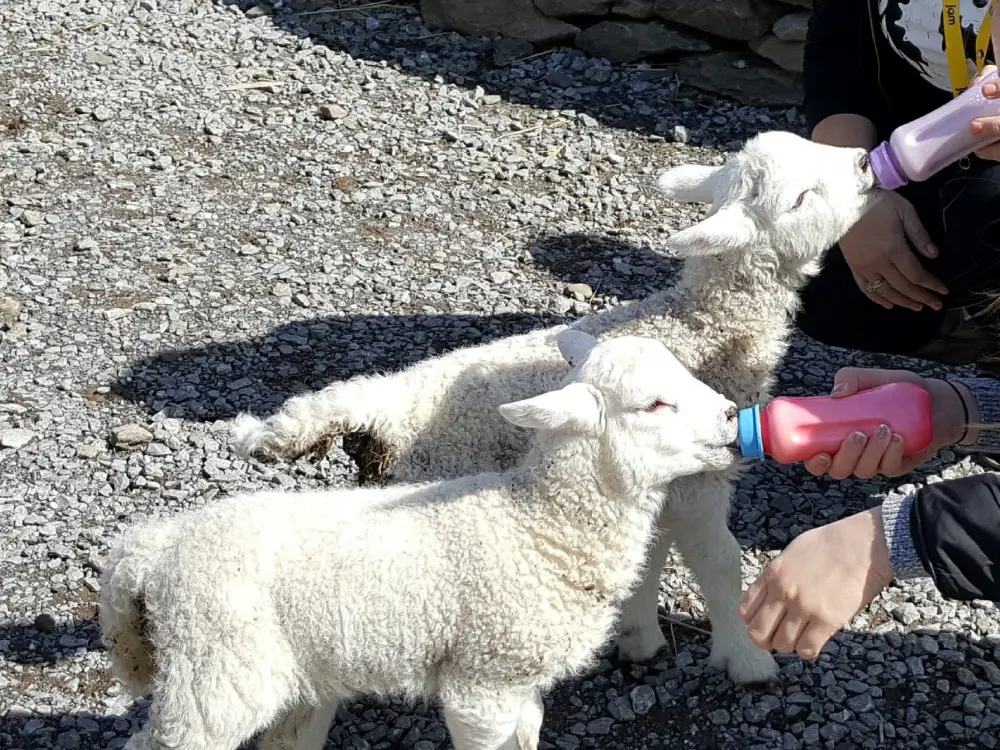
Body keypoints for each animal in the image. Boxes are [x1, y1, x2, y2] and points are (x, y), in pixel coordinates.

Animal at [100, 330, 743, 750]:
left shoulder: (520, 682)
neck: (541, 526)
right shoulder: (480, 682)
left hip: (284, 678)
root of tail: (148, 552)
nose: (734, 416)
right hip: (217, 674)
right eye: (653, 404)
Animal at [231, 130, 882, 685]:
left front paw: (639, 636)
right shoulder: (700, 480)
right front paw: (747, 658)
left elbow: (651, 556)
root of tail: (387, 408)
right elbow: (720, 563)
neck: (701, 326)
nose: (864, 163)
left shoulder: (656, 481)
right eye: (801, 197)